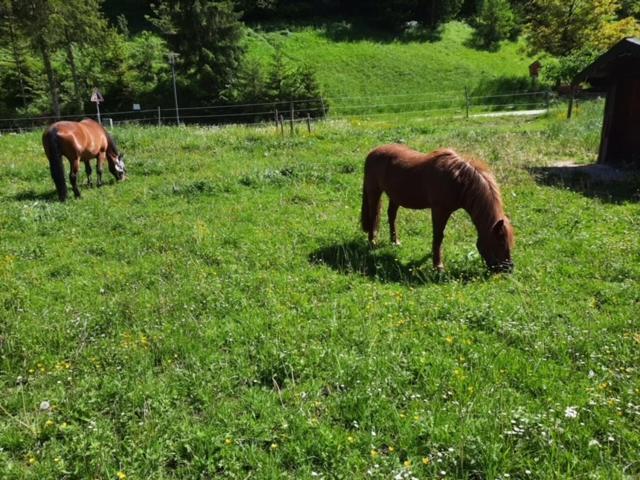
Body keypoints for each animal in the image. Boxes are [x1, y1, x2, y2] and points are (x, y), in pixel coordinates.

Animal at [360, 144, 516, 272]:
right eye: (500, 242)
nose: (508, 269)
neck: (459, 180)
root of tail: (373, 152)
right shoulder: (439, 210)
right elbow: (439, 236)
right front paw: (438, 265)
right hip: (374, 191)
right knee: (374, 216)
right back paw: (372, 242)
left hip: (395, 196)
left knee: (391, 216)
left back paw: (395, 242)